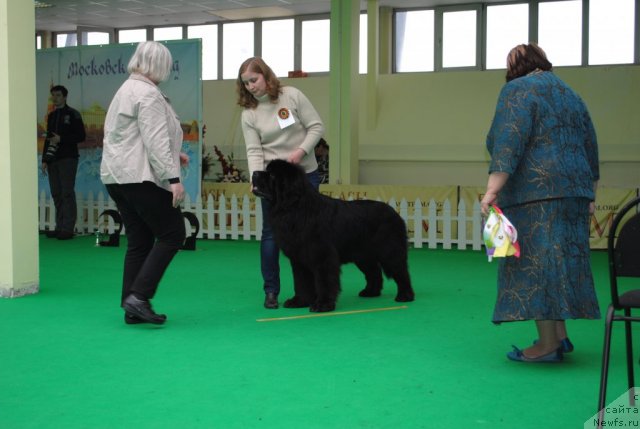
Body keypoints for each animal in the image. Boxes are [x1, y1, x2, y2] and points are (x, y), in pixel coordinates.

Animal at [252, 160, 418, 310]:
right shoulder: (299, 259)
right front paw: (299, 301)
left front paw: (323, 304)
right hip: (363, 255)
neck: (295, 208)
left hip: (389, 251)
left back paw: (405, 296)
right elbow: (301, 282)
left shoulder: (323, 256)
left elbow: (324, 281)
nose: (254, 173)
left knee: (401, 271)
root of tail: (395, 213)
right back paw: (370, 292)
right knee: (374, 273)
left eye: (272, 175)